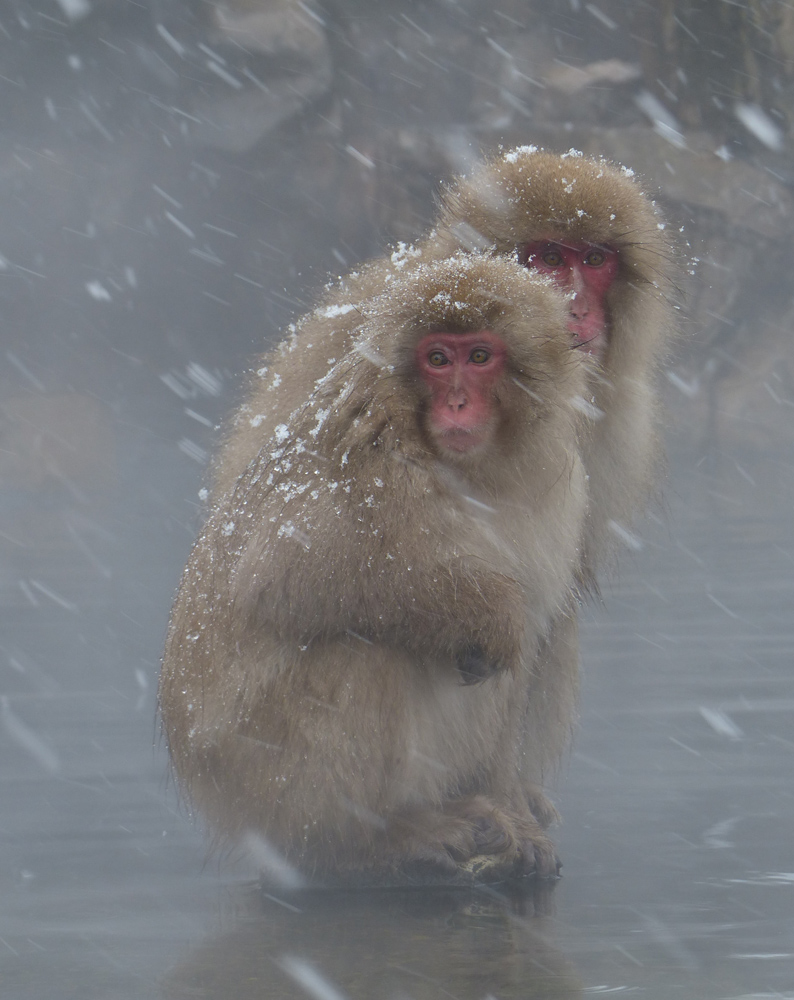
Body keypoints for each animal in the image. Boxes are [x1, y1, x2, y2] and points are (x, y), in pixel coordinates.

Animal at [158, 256, 584, 884]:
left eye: (480, 356)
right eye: (438, 359)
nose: (458, 403)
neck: (480, 468)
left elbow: (529, 637)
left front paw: (517, 815)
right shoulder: (379, 465)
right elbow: (282, 572)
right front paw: (489, 613)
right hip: (261, 777)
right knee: (362, 650)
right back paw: (368, 843)